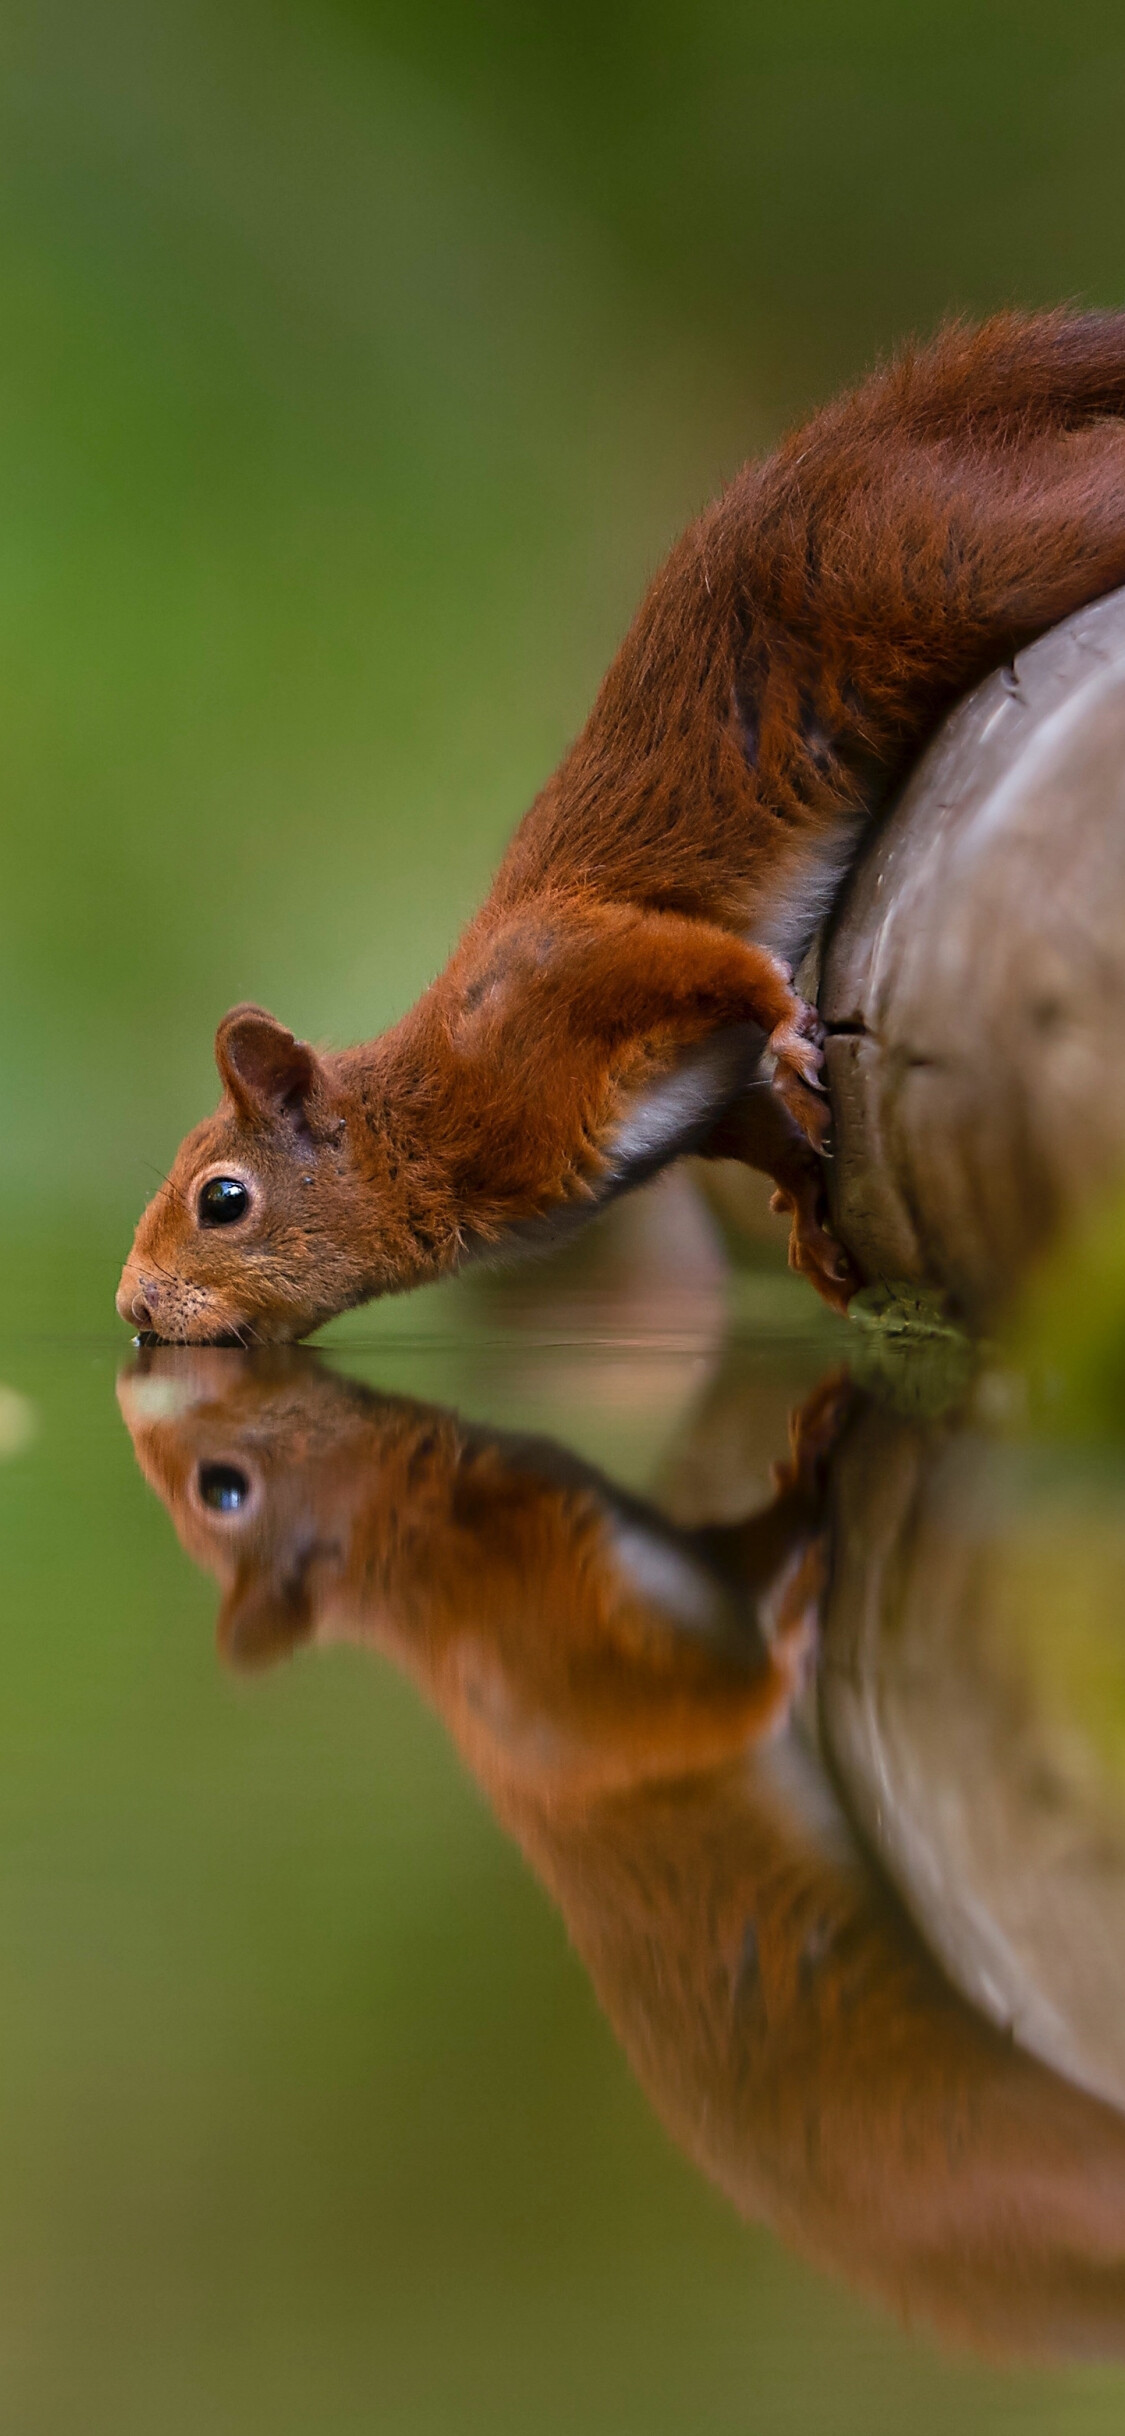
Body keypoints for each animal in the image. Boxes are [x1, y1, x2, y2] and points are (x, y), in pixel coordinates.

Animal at [118, 310, 1125, 1345]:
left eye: (223, 1200)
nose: (132, 1304)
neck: (424, 1118)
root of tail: (861, 441)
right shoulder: (694, 1105)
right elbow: (755, 1128)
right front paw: (807, 1216)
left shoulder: (562, 976)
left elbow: (703, 957)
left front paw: (787, 1031)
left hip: (952, 553)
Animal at [118, 1344, 1125, 2358]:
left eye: (221, 1489)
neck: (429, 1550)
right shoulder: (554, 1681)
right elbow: (700, 1722)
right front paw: (791, 1627)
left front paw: (811, 1455)